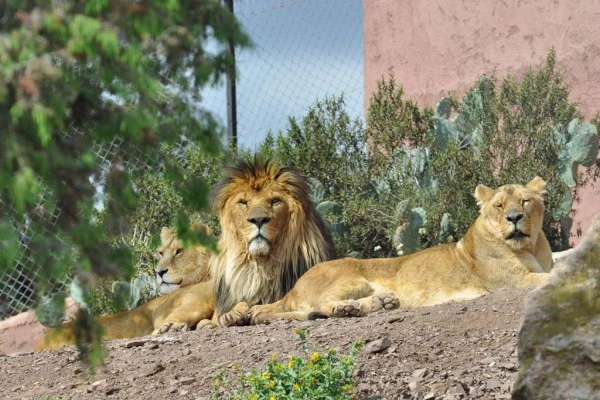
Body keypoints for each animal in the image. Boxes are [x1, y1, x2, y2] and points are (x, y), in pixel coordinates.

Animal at [230, 177, 552, 324]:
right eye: (499, 205)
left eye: (525, 201)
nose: (514, 217)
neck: (531, 246)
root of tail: (292, 288)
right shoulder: (512, 281)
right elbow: (549, 276)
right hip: (350, 277)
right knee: (320, 306)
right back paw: (349, 308)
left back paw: (381, 303)